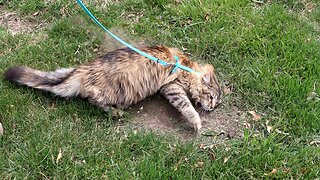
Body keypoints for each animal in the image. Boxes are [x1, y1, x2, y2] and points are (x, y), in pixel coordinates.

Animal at [3, 45, 221, 131]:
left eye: (215, 103)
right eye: (211, 98)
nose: (211, 108)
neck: (186, 66)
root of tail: (80, 71)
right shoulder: (171, 87)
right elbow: (187, 106)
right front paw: (196, 121)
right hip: (114, 92)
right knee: (93, 100)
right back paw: (115, 112)